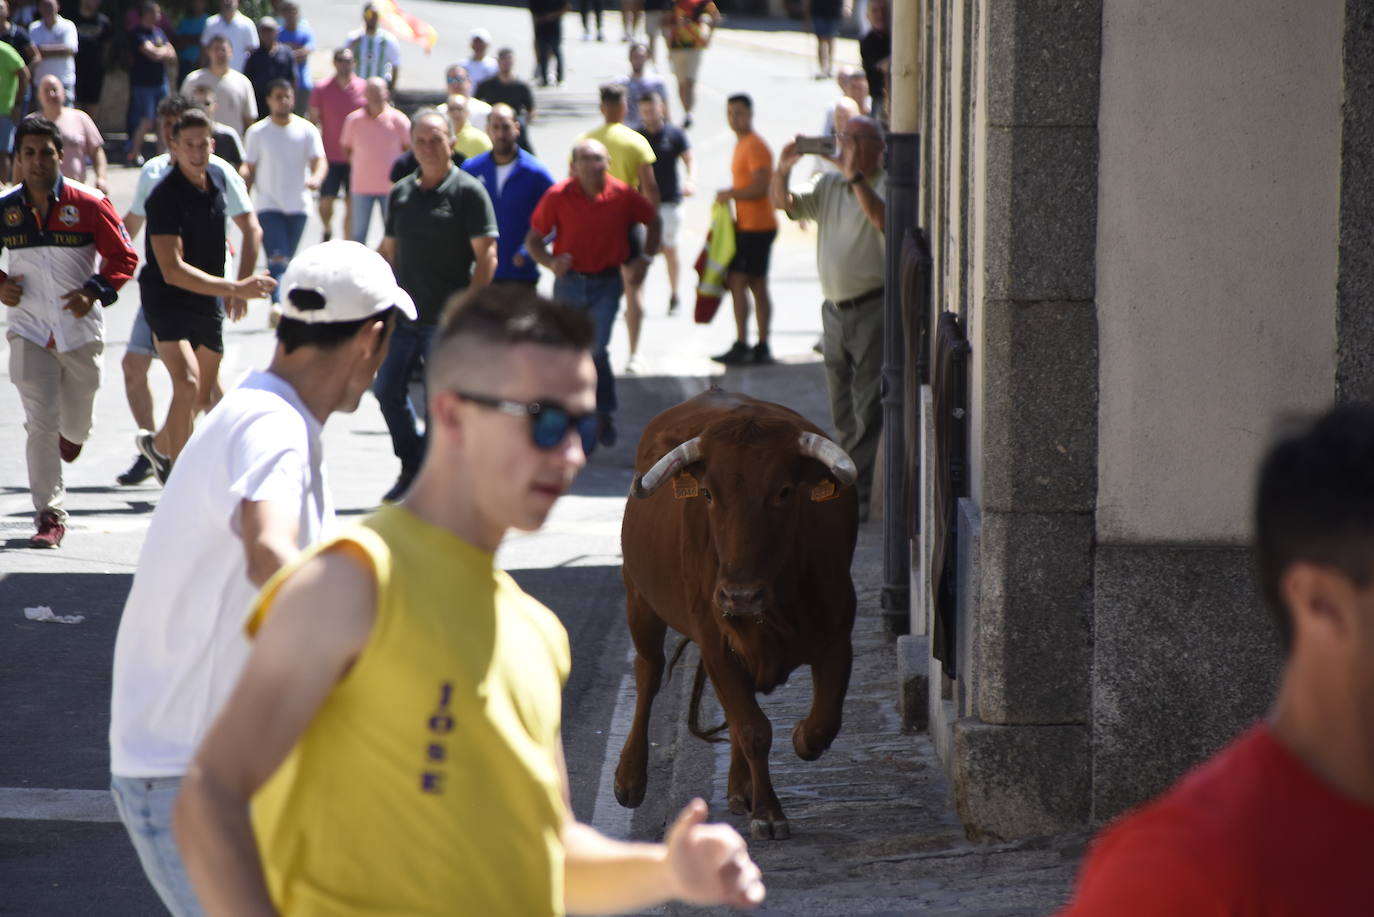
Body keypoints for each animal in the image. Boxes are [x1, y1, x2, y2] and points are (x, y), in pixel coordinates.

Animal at [615, 387, 857, 841]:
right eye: (708, 494)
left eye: (784, 491)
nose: (739, 596)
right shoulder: (715, 643)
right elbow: (753, 729)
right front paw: (768, 812)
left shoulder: (839, 633)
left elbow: (824, 721)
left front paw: (800, 739)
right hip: (638, 598)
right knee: (648, 672)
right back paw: (630, 778)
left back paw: (740, 786)